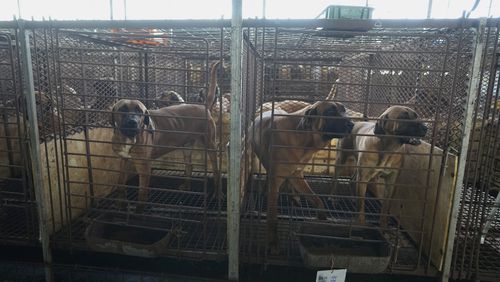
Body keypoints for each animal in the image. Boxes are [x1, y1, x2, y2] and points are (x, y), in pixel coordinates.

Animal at [110, 61, 222, 212]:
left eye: (139, 111)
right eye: (122, 109)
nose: (133, 122)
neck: (128, 138)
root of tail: (203, 107)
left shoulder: (144, 167)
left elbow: (142, 192)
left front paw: (139, 210)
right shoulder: (123, 161)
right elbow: (120, 184)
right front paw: (120, 204)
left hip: (210, 146)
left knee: (216, 172)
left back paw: (217, 193)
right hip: (187, 147)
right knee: (189, 166)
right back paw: (187, 186)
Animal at [248, 100, 354, 252]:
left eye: (344, 110)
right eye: (330, 112)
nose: (352, 124)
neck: (304, 137)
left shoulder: (297, 175)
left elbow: (318, 200)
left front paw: (323, 220)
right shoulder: (276, 181)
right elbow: (273, 218)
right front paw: (273, 242)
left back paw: (294, 196)